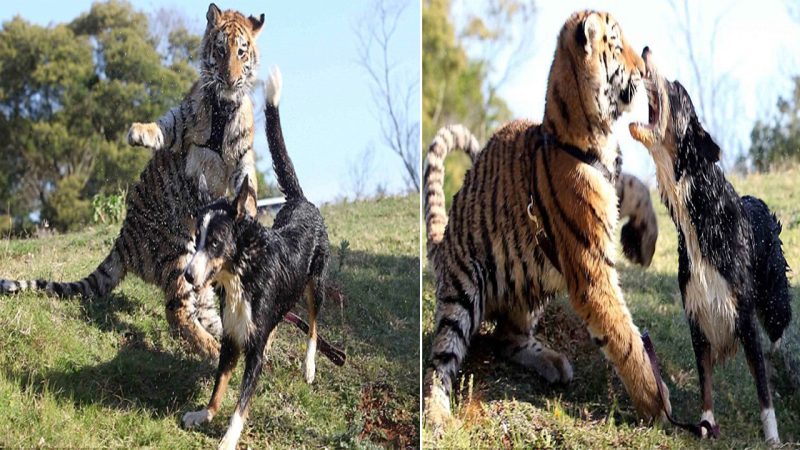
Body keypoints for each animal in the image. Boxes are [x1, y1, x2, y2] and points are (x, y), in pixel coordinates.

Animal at [181, 67, 332, 450]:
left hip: (317, 283)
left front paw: (227, 439)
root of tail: (300, 200)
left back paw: (309, 366)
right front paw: (203, 414)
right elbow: (219, 387)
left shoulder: (252, 353)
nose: (188, 275)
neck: (243, 271)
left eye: (215, 242)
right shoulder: (232, 339)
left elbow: (240, 404)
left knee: (313, 325)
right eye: (196, 239)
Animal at [632, 46, 792, 442]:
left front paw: (772, 438)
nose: (644, 48)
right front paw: (705, 425)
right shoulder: (697, 315)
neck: (699, 217)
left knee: (780, 342)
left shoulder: (744, 315)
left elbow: (762, 389)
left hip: (775, 303)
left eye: (675, 88)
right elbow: (705, 381)